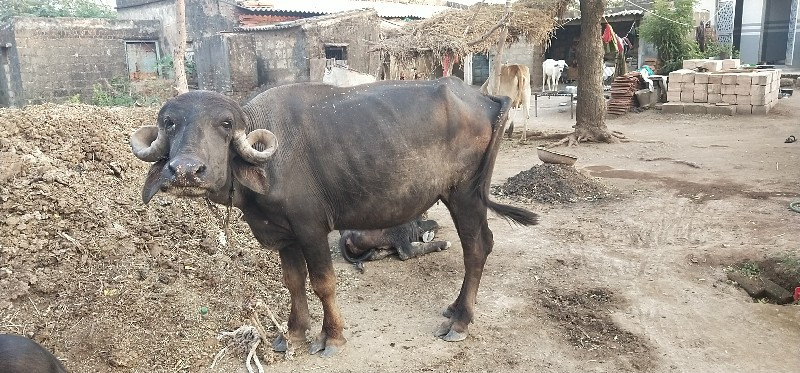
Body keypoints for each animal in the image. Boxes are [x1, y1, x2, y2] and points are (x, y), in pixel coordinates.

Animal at [130, 77, 536, 356]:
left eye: (225, 124)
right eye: (170, 123)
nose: (186, 171)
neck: (270, 164)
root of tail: (483, 97)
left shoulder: (312, 229)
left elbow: (323, 283)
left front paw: (332, 337)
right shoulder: (284, 235)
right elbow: (293, 282)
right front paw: (293, 333)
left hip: (465, 196)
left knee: (477, 248)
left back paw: (461, 321)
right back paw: (454, 309)